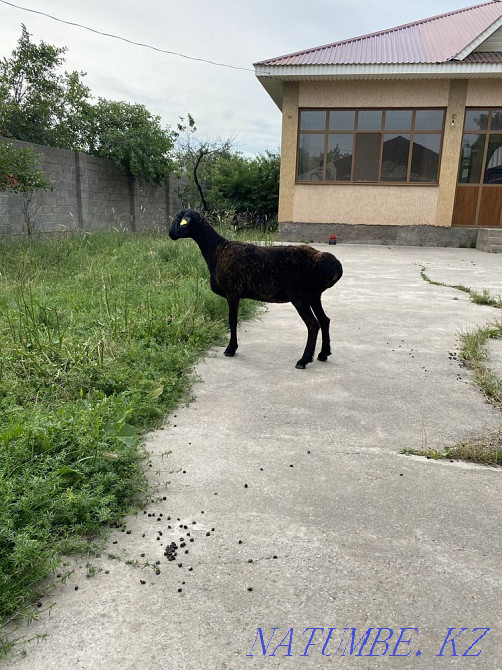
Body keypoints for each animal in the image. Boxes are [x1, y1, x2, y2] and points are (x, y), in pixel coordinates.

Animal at [168, 209, 343, 369]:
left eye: (182, 221)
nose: (170, 234)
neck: (217, 250)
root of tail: (333, 265)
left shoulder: (233, 291)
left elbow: (232, 320)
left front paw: (230, 349)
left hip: (300, 296)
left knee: (313, 325)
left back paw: (304, 360)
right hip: (314, 296)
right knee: (325, 320)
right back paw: (323, 354)